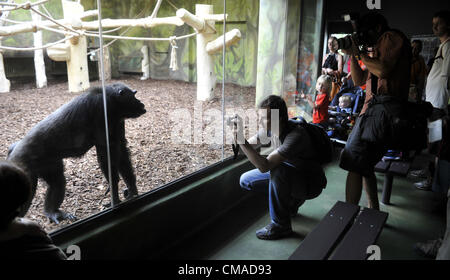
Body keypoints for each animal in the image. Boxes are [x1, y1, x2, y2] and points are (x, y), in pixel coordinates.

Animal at [6, 82, 146, 223]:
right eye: (134, 95)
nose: (140, 102)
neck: (111, 103)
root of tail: (14, 149)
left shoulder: (119, 122)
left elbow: (122, 152)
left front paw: (132, 190)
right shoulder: (100, 110)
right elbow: (105, 153)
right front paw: (115, 197)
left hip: (48, 164)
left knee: (57, 183)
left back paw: (52, 212)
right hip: (23, 167)